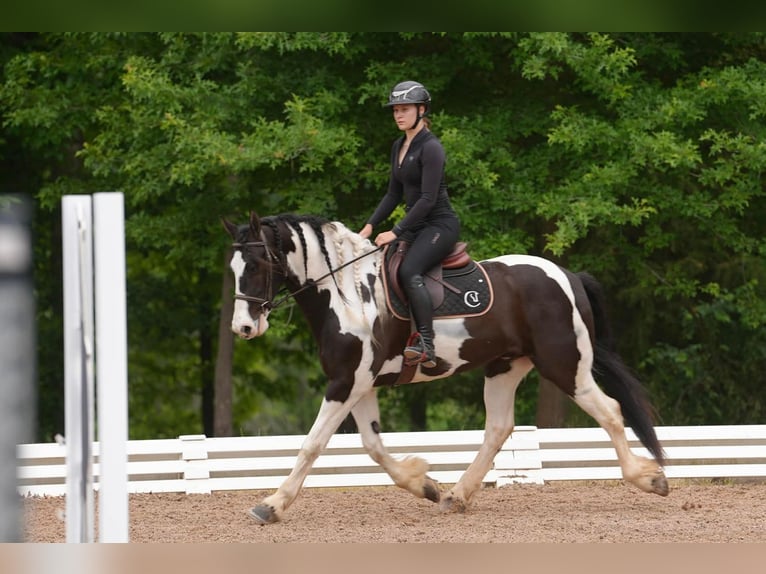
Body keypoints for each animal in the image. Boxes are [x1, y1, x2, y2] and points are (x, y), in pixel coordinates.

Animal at [222, 212, 669, 524]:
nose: (243, 328)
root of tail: (567, 275)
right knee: (499, 428)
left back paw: (650, 478)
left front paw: (271, 505)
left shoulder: (346, 382)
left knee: (610, 411)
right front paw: (424, 485)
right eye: (233, 270)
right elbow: (372, 446)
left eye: (257, 266)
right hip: (505, 367)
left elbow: (312, 444)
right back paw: (456, 496)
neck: (346, 293)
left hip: (564, 364)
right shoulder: (360, 383)